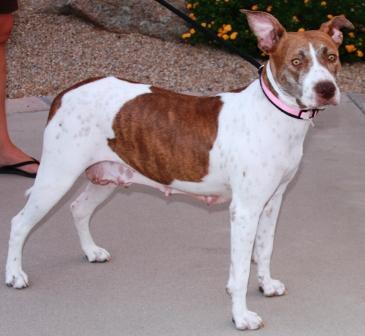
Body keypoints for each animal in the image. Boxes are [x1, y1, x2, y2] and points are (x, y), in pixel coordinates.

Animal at [5, 10, 352, 330]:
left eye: (331, 57)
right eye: (296, 61)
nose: (326, 88)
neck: (275, 113)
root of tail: (66, 92)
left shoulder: (271, 202)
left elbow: (264, 249)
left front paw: (266, 285)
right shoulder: (245, 211)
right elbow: (239, 271)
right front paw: (241, 316)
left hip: (108, 174)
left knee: (78, 208)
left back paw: (91, 251)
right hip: (56, 177)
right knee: (20, 222)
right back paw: (14, 274)